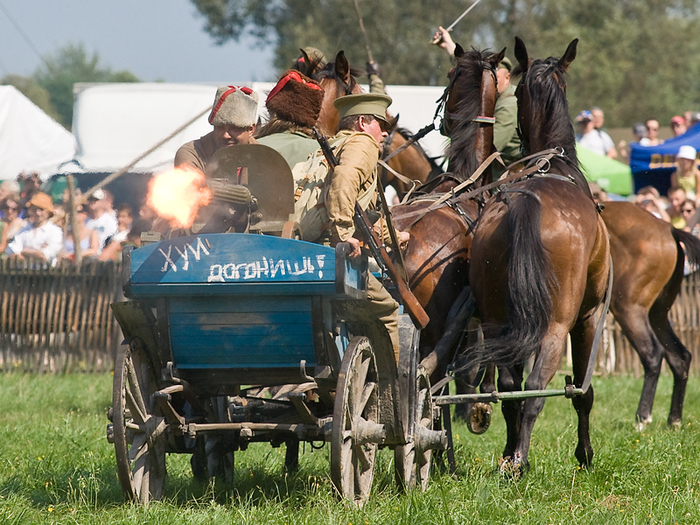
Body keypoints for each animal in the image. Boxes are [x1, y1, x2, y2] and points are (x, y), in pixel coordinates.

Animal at [468, 36, 608, 470]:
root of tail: (527, 200)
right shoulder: (589, 317)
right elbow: (582, 391)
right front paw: (585, 454)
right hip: (557, 325)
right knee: (533, 389)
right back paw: (520, 461)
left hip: (499, 319)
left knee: (511, 388)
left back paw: (511, 457)